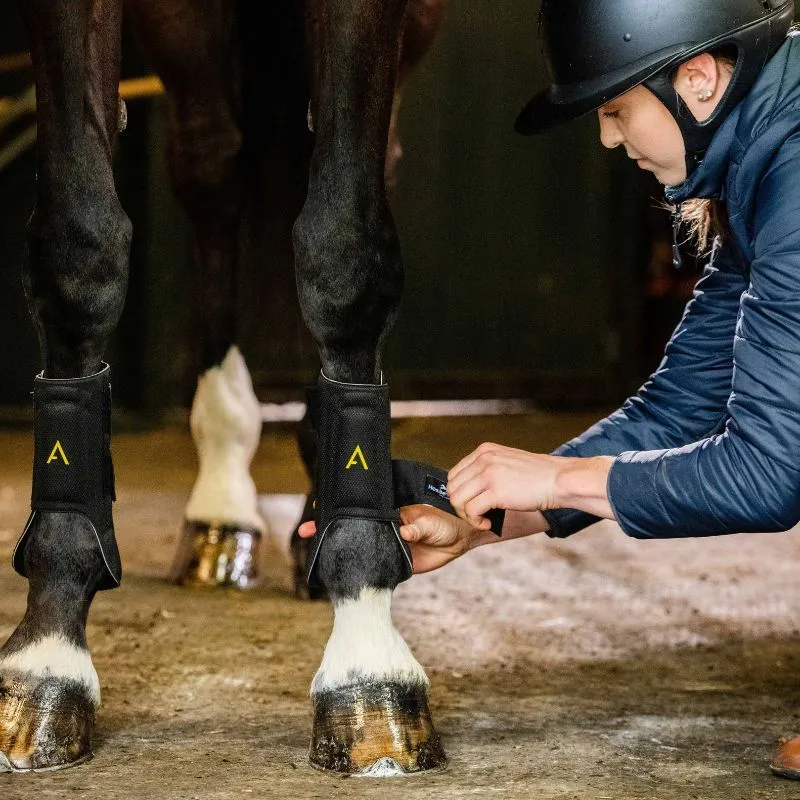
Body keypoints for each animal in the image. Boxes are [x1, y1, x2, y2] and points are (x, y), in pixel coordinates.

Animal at [0, 0, 450, 780]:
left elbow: (345, 249)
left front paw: (367, 656)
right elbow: (78, 247)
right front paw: (47, 657)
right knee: (214, 173)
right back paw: (221, 511)